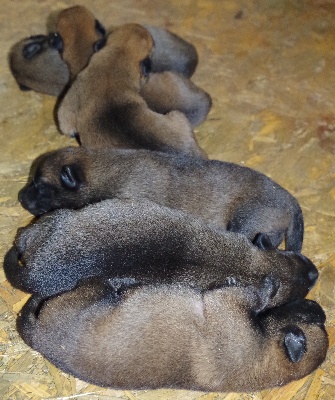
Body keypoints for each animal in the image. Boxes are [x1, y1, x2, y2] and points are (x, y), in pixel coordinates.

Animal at [17, 276, 330, 392]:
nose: (317, 308)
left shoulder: (227, 308)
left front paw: (265, 288)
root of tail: (39, 337)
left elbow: (252, 297)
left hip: (82, 297)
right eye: (311, 315)